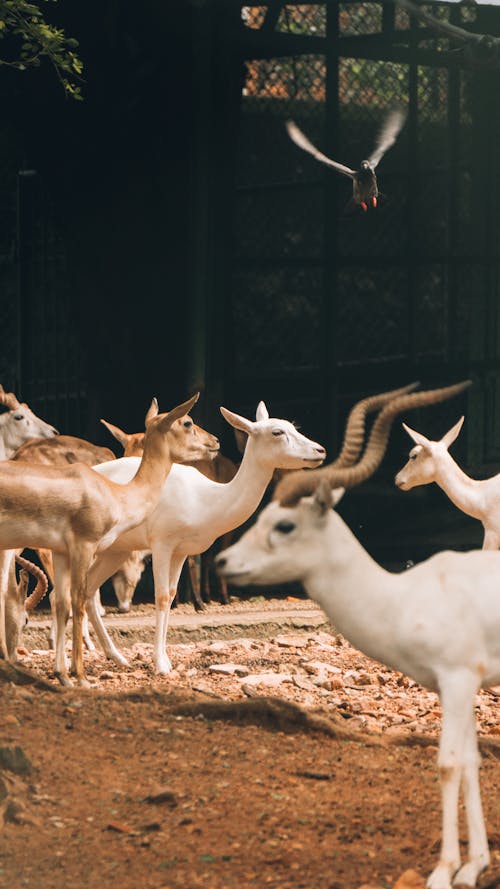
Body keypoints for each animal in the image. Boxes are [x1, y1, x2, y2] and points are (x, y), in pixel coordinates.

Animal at [0, 392, 200, 684]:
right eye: (187, 422)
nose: (215, 442)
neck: (116, 493)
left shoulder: (61, 552)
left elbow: (62, 603)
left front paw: (63, 675)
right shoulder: (84, 547)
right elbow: (79, 600)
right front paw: (81, 675)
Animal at [217, 478, 498, 888]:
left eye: (284, 524)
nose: (221, 562)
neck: (400, 601)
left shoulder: (457, 678)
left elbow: (448, 765)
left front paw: (443, 871)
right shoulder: (459, 686)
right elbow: (470, 763)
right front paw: (473, 866)